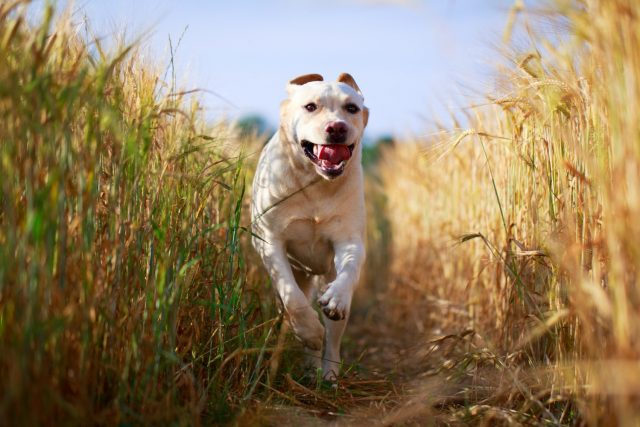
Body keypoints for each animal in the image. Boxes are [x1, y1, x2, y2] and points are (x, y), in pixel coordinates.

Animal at [251, 73, 368, 382]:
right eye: (311, 106)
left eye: (351, 108)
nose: (337, 127)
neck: (316, 184)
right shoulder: (269, 240)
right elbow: (292, 296)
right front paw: (309, 331)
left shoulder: (349, 239)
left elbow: (350, 269)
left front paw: (336, 298)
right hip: (298, 274)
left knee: (334, 336)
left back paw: (328, 374)